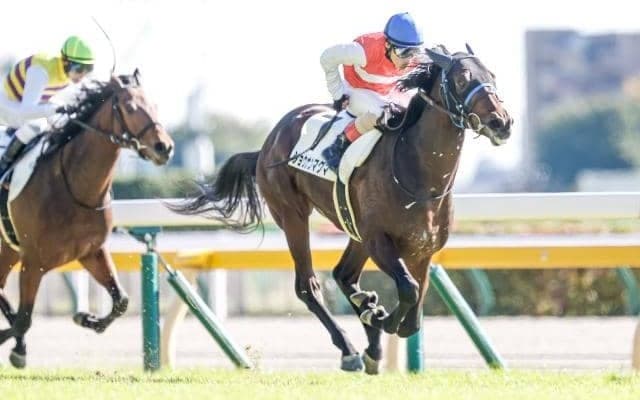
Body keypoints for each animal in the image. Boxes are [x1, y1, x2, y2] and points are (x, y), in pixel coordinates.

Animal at [0, 70, 174, 368]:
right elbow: (24, 320)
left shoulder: (92, 252)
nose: (164, 147)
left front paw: (85, 317)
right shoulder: (33, 262)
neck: (74, 186)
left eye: (154, 105)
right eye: (129, 107)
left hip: (7, 250)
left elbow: (121, 301)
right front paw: (17, 348)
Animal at [172, 46, 512, 374]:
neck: (419, 178)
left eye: (492, 75)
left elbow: (413, 314)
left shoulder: (422, 251)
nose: (502, 122)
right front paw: (378, 316)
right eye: (462, 79)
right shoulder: (379, 241)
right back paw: (350, 348)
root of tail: (268, 142)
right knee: (308, 286)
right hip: (293, 216)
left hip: (354, 232)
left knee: (343, 275)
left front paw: (374, 313)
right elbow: (408, 291)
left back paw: (370, 336)